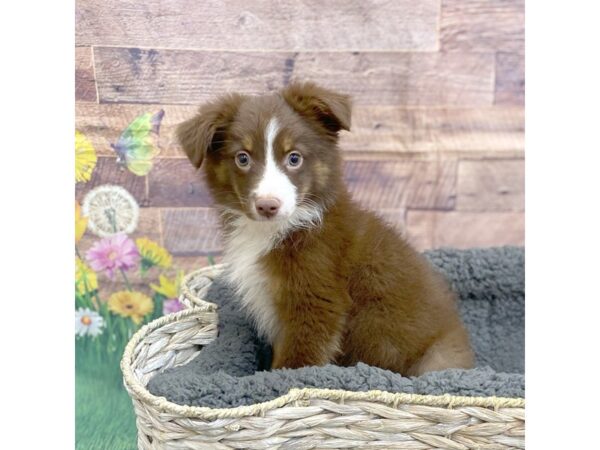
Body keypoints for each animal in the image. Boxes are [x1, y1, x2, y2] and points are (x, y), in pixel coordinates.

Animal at [178, 81, 474, 376]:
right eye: (242, 158)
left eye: (294, 158)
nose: (267, 206)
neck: (276, 230)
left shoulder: (315, 301)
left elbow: (295, 363)